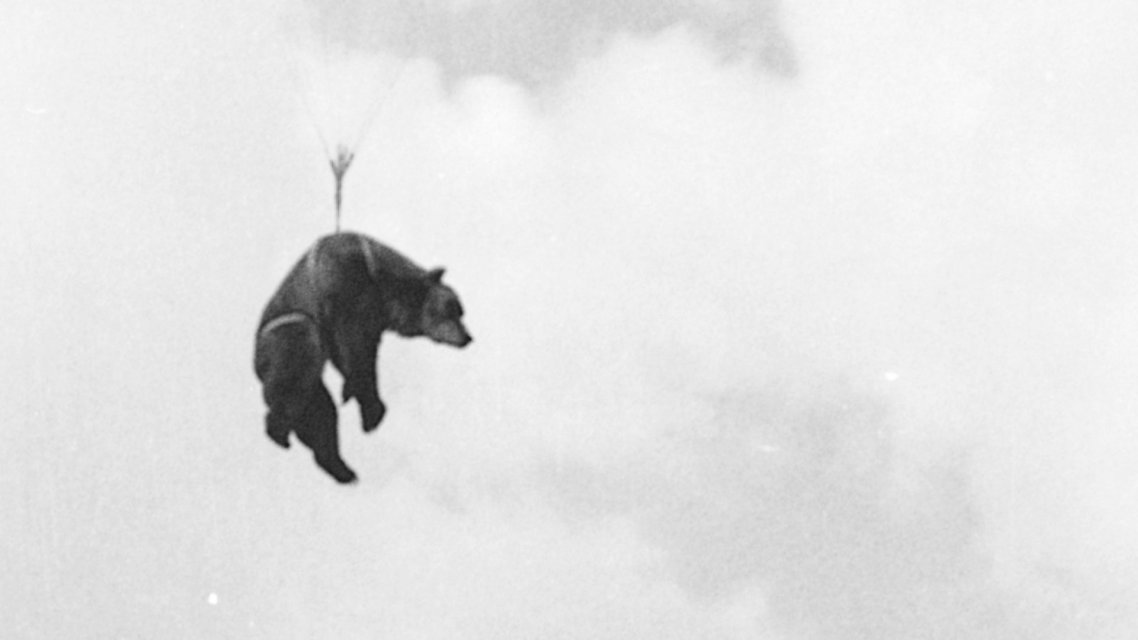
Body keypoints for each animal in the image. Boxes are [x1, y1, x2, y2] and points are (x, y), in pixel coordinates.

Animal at [253, 232, 472, 483]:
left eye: (460, 311)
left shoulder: (373, 316)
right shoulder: (344, 289)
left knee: (320, 413)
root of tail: (255, 360)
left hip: (311, 380)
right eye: (451, 309)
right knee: (296, 386)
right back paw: (279, 434)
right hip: (292, 341)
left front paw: (370, 409)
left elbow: (362, 357)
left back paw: (341, 469)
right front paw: (359, 398)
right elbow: (350, 345)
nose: (468, 337)